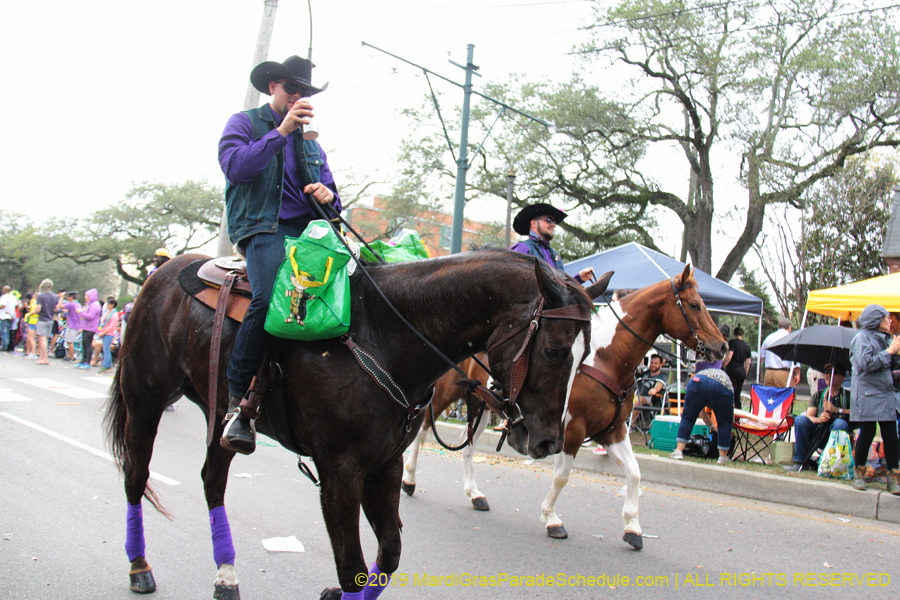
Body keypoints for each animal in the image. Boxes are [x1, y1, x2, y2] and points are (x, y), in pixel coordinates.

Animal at [103, 246, 592, 596]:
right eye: (554, 351)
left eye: (585, 353)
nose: (548, 442)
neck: (383, 336)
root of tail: (161, 273)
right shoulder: (340, 472)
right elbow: (352, 566)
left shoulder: (384, 466)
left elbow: (389, 554)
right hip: (144, 402)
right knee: (135, 476)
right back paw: (139, 567)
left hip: (217, 416)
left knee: (212, 480)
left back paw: (226, 576)